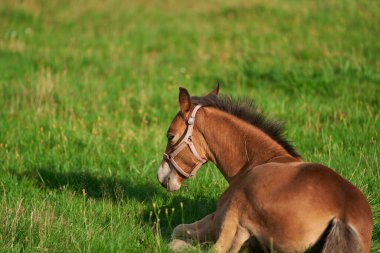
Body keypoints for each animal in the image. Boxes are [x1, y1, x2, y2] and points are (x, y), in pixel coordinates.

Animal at [156, 86, 372, 252]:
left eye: (170, 136)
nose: (160, 176)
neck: (257, 160)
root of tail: (342, 216)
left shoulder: (216, 218)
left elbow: (177, 229)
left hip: (238, 207)